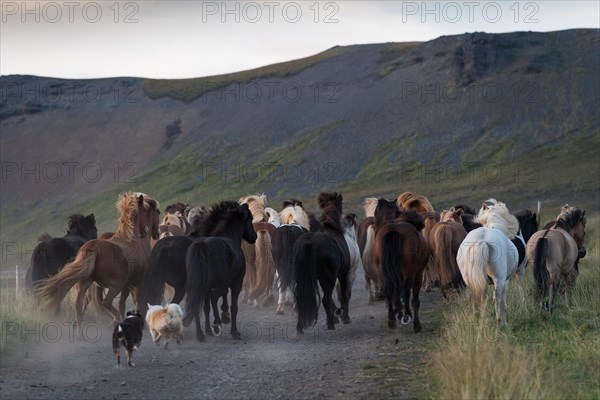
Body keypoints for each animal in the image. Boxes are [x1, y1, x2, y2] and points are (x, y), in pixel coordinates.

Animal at [36, 192, 159, 332]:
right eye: (146, 211)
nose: (149, 232)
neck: (131, 239)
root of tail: (92, 248)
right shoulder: (136, 284)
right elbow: (135, 303)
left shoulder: (128, 286)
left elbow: (123, 304)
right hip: (115, 286)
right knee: (106, 302)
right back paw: (116, 319)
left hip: (85, 284)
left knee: (79, 305)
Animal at [183, 200, 258, 340]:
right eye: (250, 218)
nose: (254, 237)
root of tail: (203, 245)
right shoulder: (236, 284)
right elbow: (233, 307)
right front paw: (233, 330)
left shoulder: (208, 287)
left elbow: (207, 307)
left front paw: (211, 327)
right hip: (220, 284)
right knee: (213, 297)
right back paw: (217, 323)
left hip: (199, 285)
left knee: (196, 304)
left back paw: (200, 334)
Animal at [292, 193, 352, 334]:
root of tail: (310, 242)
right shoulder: (342, 275)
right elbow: (344, 295)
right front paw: (344, 316)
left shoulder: (320, 278)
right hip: (331, 277)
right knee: (325, 299)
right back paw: (331, 323)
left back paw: (300, 328)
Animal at [372, 198, 428, 332]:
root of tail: (394, 230)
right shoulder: (418, 274)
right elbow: (413, 298)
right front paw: (414, 322)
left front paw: (397, 310)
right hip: (410, 272)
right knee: (407, 291)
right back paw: (408, 316)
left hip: (383, 271)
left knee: (388, 290)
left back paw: (392, 321)